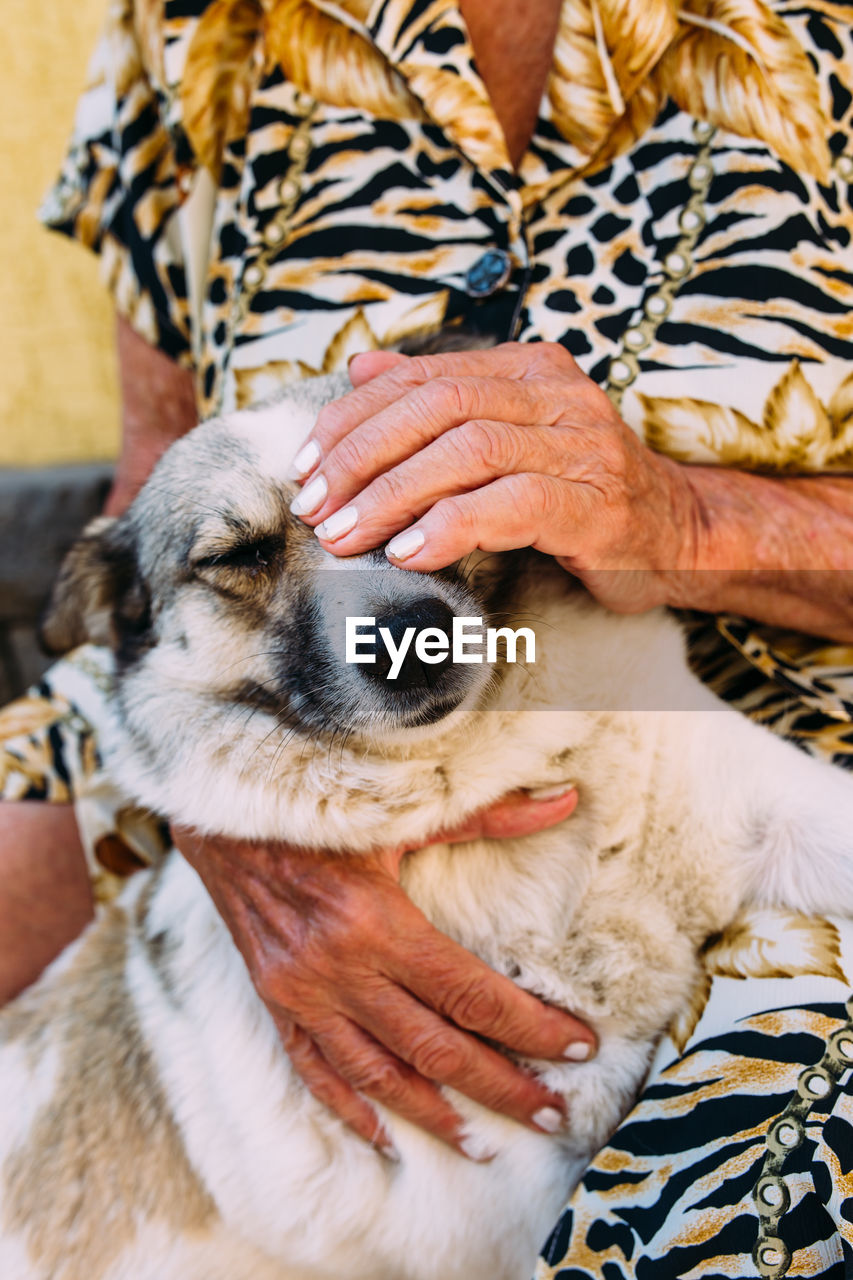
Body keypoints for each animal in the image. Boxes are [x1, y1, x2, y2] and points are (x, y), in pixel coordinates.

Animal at [1, 363, 850, 1280]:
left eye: (414, 493)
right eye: (239, 555)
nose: (412, 632)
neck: (483, 785)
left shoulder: (778, 806)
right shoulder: (505, 1194)